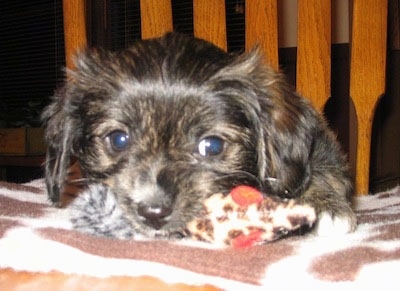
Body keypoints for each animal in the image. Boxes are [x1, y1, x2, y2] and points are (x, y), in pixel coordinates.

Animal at [43, 33, 356, 240]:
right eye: (119, 139)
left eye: (212, 146)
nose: (153, 212)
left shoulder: (321, 145)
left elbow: (322, 171)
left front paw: (326, 207)